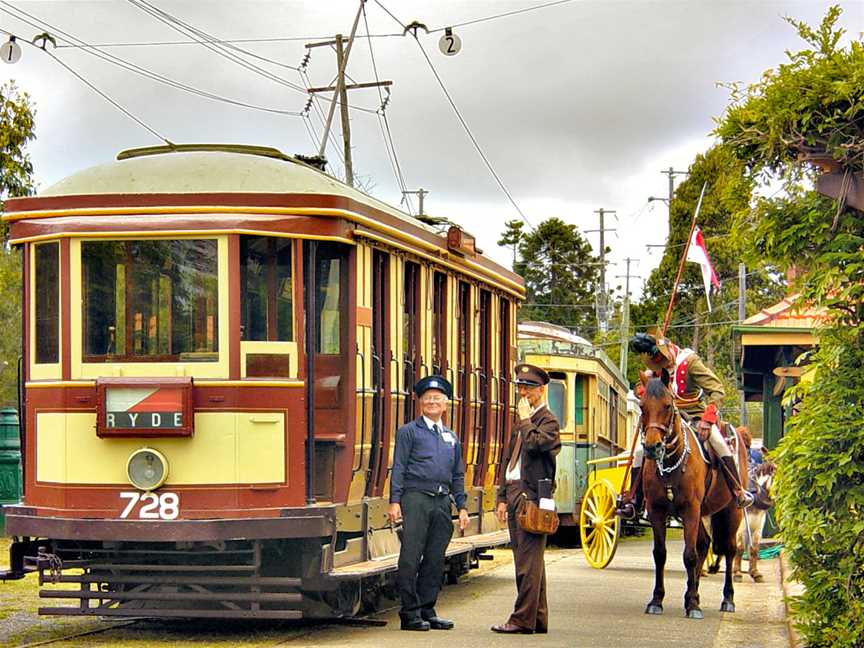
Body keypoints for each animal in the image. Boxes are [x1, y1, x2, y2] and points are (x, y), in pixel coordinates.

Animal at [636, 372, 752, 620]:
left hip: (731, 511)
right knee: (703, 544)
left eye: (667, 405)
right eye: (642, 406)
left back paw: (727, 599)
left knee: (729, 549)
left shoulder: (691, 510)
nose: (652, 447)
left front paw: (693, 606)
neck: (672, 462)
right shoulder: (657, 511)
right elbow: (660, 554)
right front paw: (657, 600)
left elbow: (689, 555)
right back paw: (694, 592)